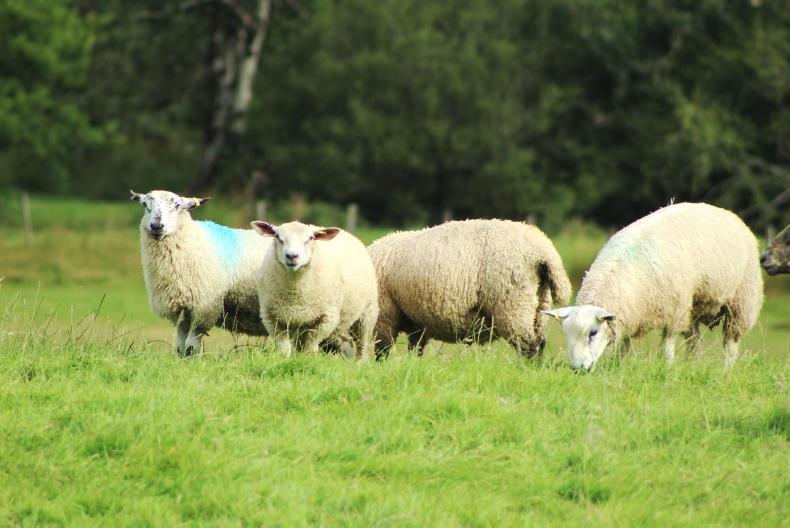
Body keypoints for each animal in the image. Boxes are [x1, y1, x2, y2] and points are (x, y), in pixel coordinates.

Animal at [130, 190, 271, 355]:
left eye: (177, 205)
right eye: (145, 204)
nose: (156, 226)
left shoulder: (204, 306)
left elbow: (191, 345)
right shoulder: (185, 308)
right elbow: (180, 345)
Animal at [250, 220, 379, 359]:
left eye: (310, 238)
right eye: (278, 237)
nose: (292, 256)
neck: (295, 294)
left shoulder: (325, 319)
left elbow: (310, 349)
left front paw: (307, 360)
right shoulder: (272, 318)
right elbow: (284, 349)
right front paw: (285, 360)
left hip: (367, 313)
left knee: (362, 344)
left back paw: (360, 361)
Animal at [367, 219, 572, 359]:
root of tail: (545, 253)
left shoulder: (384, 315)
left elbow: (382, 351)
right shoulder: (417, 322)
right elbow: (414, 350)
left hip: (512, 305)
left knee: (529, 345)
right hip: (539, 306)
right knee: (540, 343)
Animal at [545, 202, 764, 370]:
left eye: (593, 333)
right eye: (566, 334)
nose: (577, 369)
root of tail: (726, 212)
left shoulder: (674, 314)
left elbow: (666, 348)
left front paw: (666, 370)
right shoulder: (630, 315)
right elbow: (623, 347)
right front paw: (618, 366)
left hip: (741, 301)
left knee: (730, 343)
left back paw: (726, 372)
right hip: (692, 309)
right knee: (695, 343)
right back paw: (691, 367)